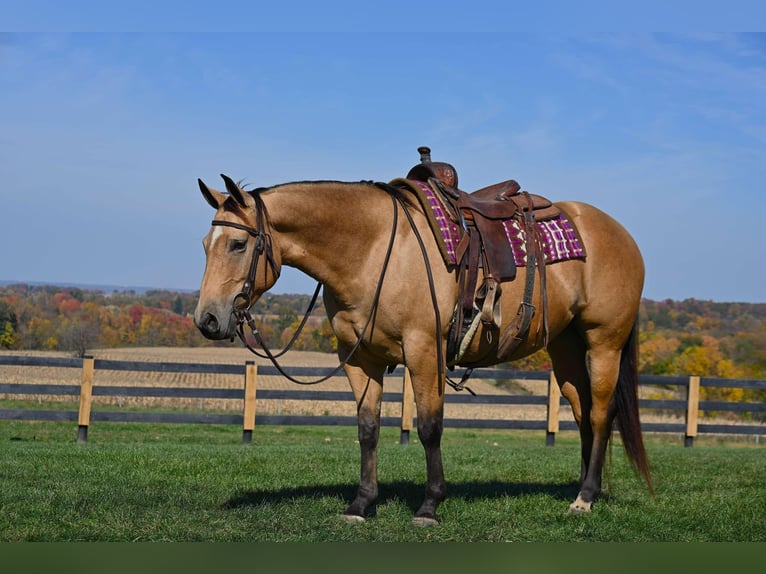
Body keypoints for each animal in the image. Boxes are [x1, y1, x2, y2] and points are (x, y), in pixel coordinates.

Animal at [194, 150, 656, 532]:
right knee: (582, 413)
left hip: (604, 344)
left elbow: (430, 427)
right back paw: (583, 490)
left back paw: (585, 498)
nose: (208, 319)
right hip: (565, 348)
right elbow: (368, 428)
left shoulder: (424, 351)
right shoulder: (359, 358)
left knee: (601, 414)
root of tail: (622, 236)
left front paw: (429, 506)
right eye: (205, 245)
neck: (374, 250)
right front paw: (361, 504)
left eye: (238, 244)